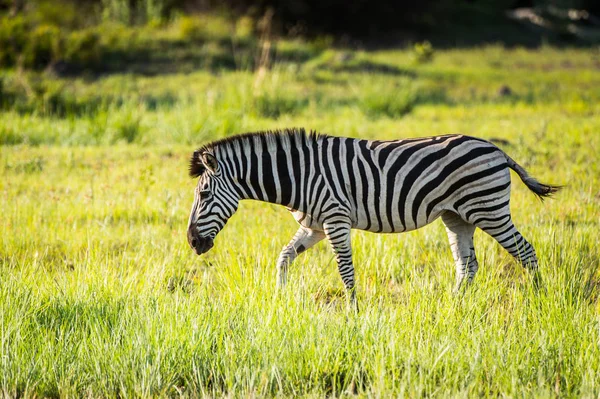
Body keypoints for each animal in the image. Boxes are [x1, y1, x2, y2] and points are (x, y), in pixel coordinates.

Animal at [186, 129, 556, 310]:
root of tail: (496, 148)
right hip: (456, 216)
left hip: (488, 209)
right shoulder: (313, 225)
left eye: (203, 195)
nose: (192, 242)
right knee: (467, 265)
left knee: (526, 252)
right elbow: (284, 257)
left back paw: (538, 301)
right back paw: (455, 307)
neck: (298, 174)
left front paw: (353, 312)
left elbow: (345, 269)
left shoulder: (334, 218)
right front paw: (279, 299)